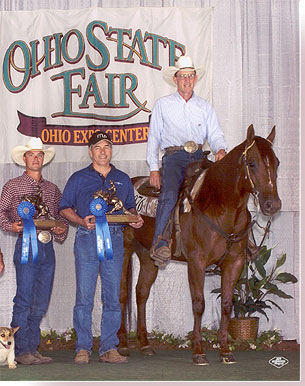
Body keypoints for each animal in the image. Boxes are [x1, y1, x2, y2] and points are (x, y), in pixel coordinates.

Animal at [117, 125, 280, 364]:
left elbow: (227, 304)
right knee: (122, 293)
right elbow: (198, 303)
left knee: (141, 292)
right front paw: (198, 351)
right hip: (123, 250)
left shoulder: (234, 263)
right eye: (252, 163)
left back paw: (145, 344)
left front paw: (225, 350)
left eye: (277, 163)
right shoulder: (197, 262)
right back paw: (121, 345)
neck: (219, 205)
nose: (272, 205)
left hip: (148, 256)